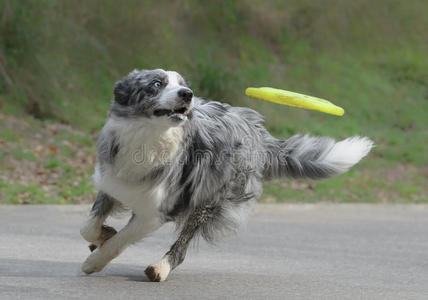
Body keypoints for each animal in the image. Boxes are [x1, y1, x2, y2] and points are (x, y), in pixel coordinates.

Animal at [79, 68, 372, 282]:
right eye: (156, 84)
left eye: (182, 84)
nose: (188, 94)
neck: (149, 138)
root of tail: (257, 132)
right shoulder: (112, 184)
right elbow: (88, 227)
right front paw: (103, 234)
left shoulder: (156, 211)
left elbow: (121, 240)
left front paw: (95, 261)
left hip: (208, 201)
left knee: (182, 247)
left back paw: (160, 268)